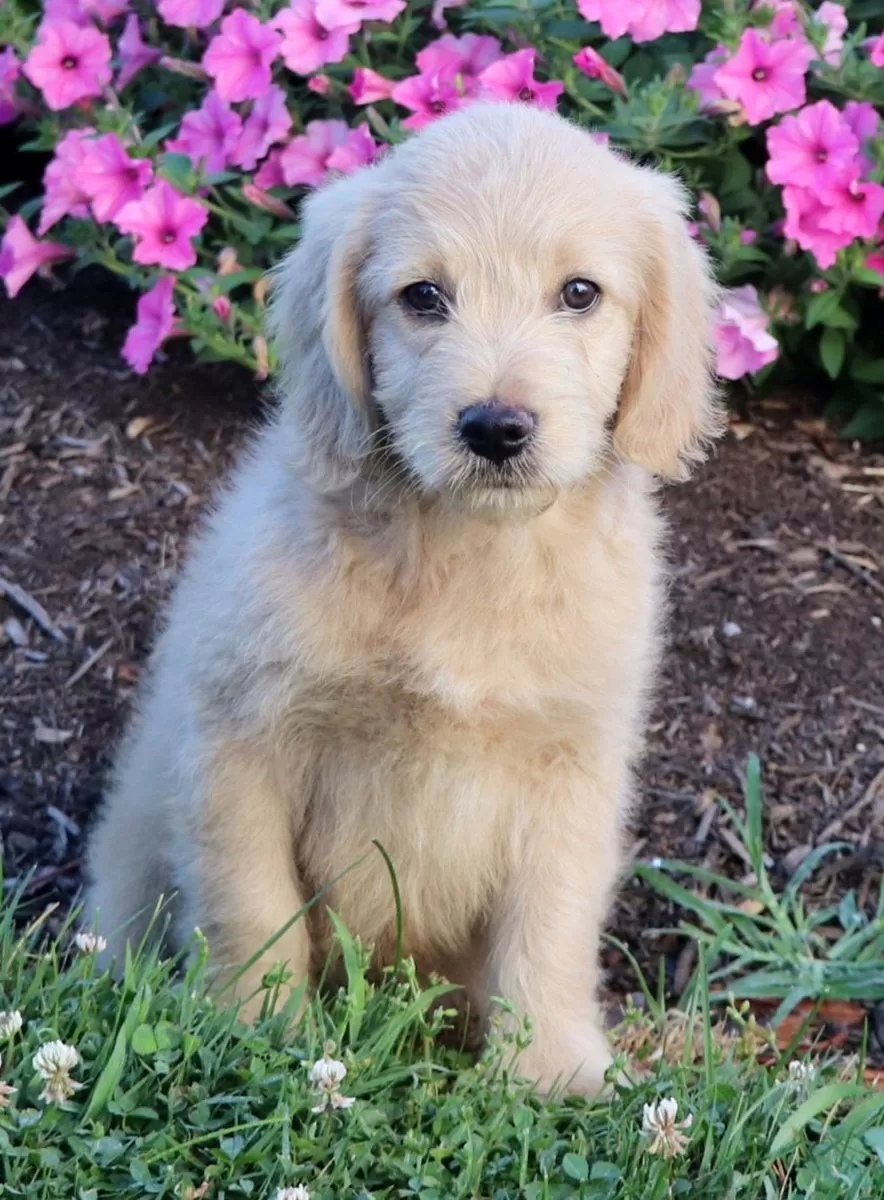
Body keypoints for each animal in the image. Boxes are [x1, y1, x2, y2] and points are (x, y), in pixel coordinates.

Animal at [84, 100, 719, 1099]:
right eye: (423, 297)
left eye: (580, 293)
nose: (495, 428)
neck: (468, 550)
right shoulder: (241, 745)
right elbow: (251, 904)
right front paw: (258, 1033)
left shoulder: (572, 769)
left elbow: (550, 926)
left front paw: (549, 1071)